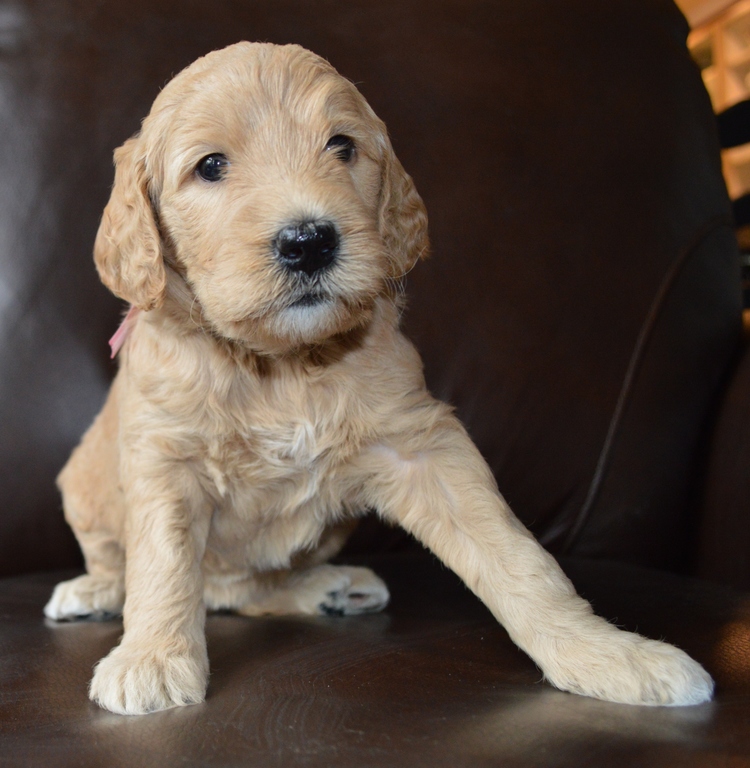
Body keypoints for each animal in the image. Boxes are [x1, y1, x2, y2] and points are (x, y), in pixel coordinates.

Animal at [45, 42, 716, 712]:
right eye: (210, 166)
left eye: (341, 146)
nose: (309, 241)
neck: (281, 364)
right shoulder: (165, 455)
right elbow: (163, 561)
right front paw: (154, 659)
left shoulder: (421, 445)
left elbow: (517, 557)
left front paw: (604, 653)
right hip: (81, 483)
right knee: (154, 571)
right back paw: (94, 592)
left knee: (238, 590)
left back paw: (328, 587)